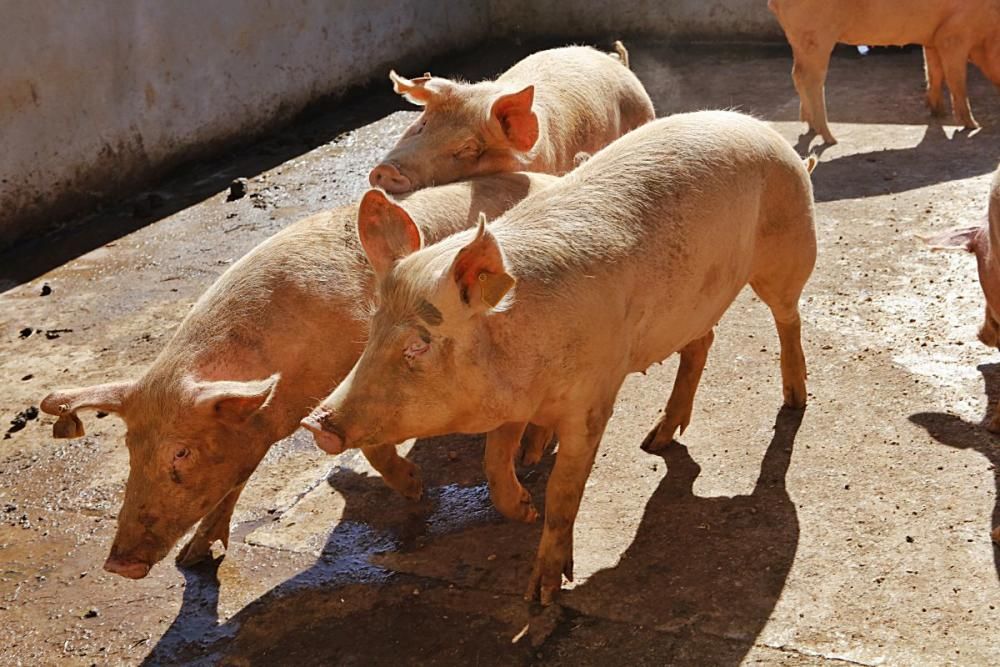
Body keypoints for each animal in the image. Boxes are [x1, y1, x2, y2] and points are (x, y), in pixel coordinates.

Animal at [39, 171, 556, 580]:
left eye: (181, 452)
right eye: (129, 448)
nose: (117, 564)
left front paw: (415, 489)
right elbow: (234, 479)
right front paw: (193, 559)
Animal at [304, 111, 820, 604]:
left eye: (419, 344)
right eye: (372, 329)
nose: (316, 421)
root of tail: (765, 131)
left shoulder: (592, 401)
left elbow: (564, 490)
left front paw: (542, 595)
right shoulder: (511, 399)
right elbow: (494, 462)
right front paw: (523, 506)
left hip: (790, 246)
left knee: (788, 317)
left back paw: (794, 400)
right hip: (694, 303)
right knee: (702, 341)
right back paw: (654, 442)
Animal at [768, 0, 996, 144]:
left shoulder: (932, 39)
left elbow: (933, 72)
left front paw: (938, 112)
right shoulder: (953, 36)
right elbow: (958, 81)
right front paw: (973, 125)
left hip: (799, 39)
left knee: (796, 74)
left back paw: (811, 127)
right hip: (817, 34)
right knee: (811, 79)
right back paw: (831, 139)